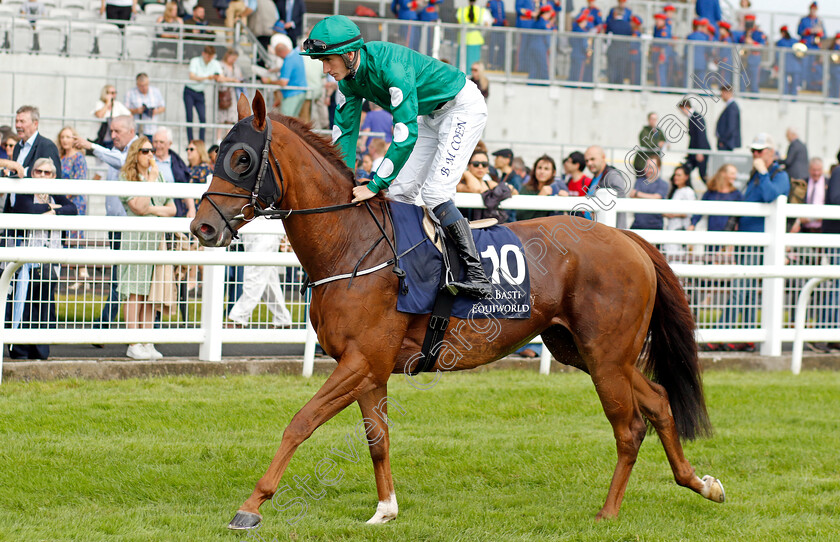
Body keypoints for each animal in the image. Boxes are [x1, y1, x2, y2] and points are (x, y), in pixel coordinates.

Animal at [189, 92, 720, 532]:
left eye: (242, 159)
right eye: (216, 155)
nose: (202, 227)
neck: (351, 244)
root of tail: (628, 238)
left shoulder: (361, 360)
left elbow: (300, 422)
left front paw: (251, 506)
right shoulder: (369, 367)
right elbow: (377, 438)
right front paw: (385, 510)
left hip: (606, 354)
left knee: (629, 426)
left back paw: (608, 513)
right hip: (586, 351)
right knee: (658, 401)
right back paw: (701, 483)